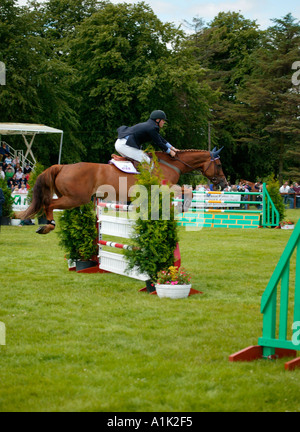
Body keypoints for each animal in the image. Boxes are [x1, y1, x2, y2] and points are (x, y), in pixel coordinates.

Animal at [20, 150, 227, 235]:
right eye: (218, 164)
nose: (224, 184)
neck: (170, 164)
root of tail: (62, 167)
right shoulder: (164, 186)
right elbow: (185, 190)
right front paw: (181, 207)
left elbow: (185, 190)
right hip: (74, 198)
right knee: (49, 204)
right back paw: (47, 226)